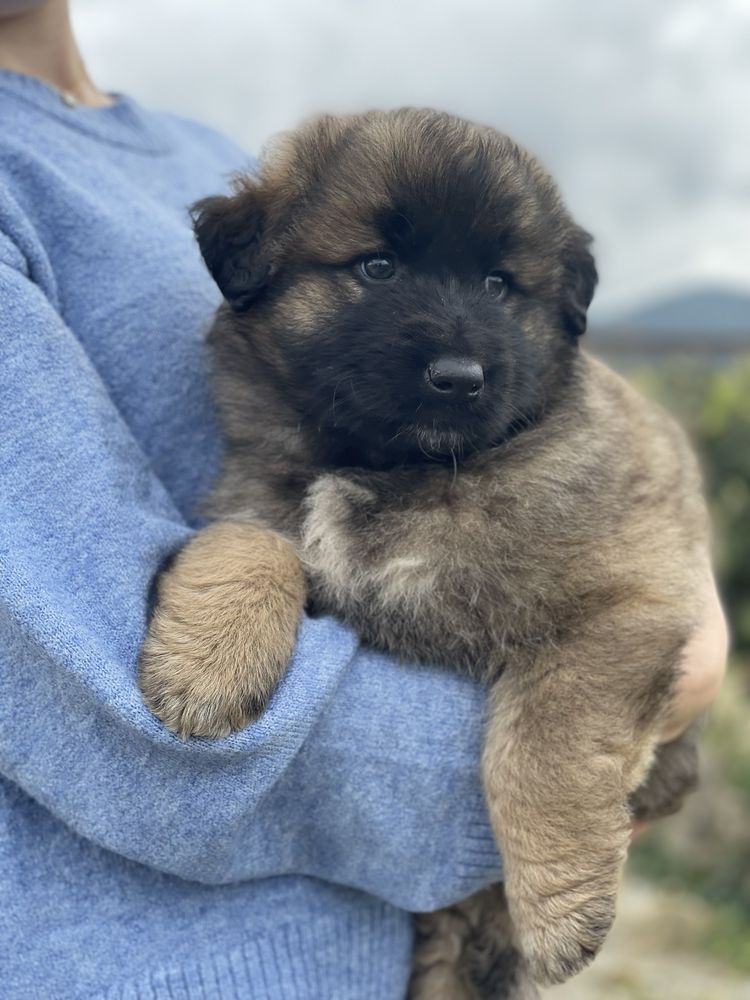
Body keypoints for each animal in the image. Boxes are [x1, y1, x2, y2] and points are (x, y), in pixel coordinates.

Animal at [141, 111, 712, 1000]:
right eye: (377, 267)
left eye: (499, 286)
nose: (459, 376)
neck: (398, 468)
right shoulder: (260, 488)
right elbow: (251, 539)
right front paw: (205, 668)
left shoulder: (631, 601)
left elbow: (545, 743)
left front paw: (561, 903)